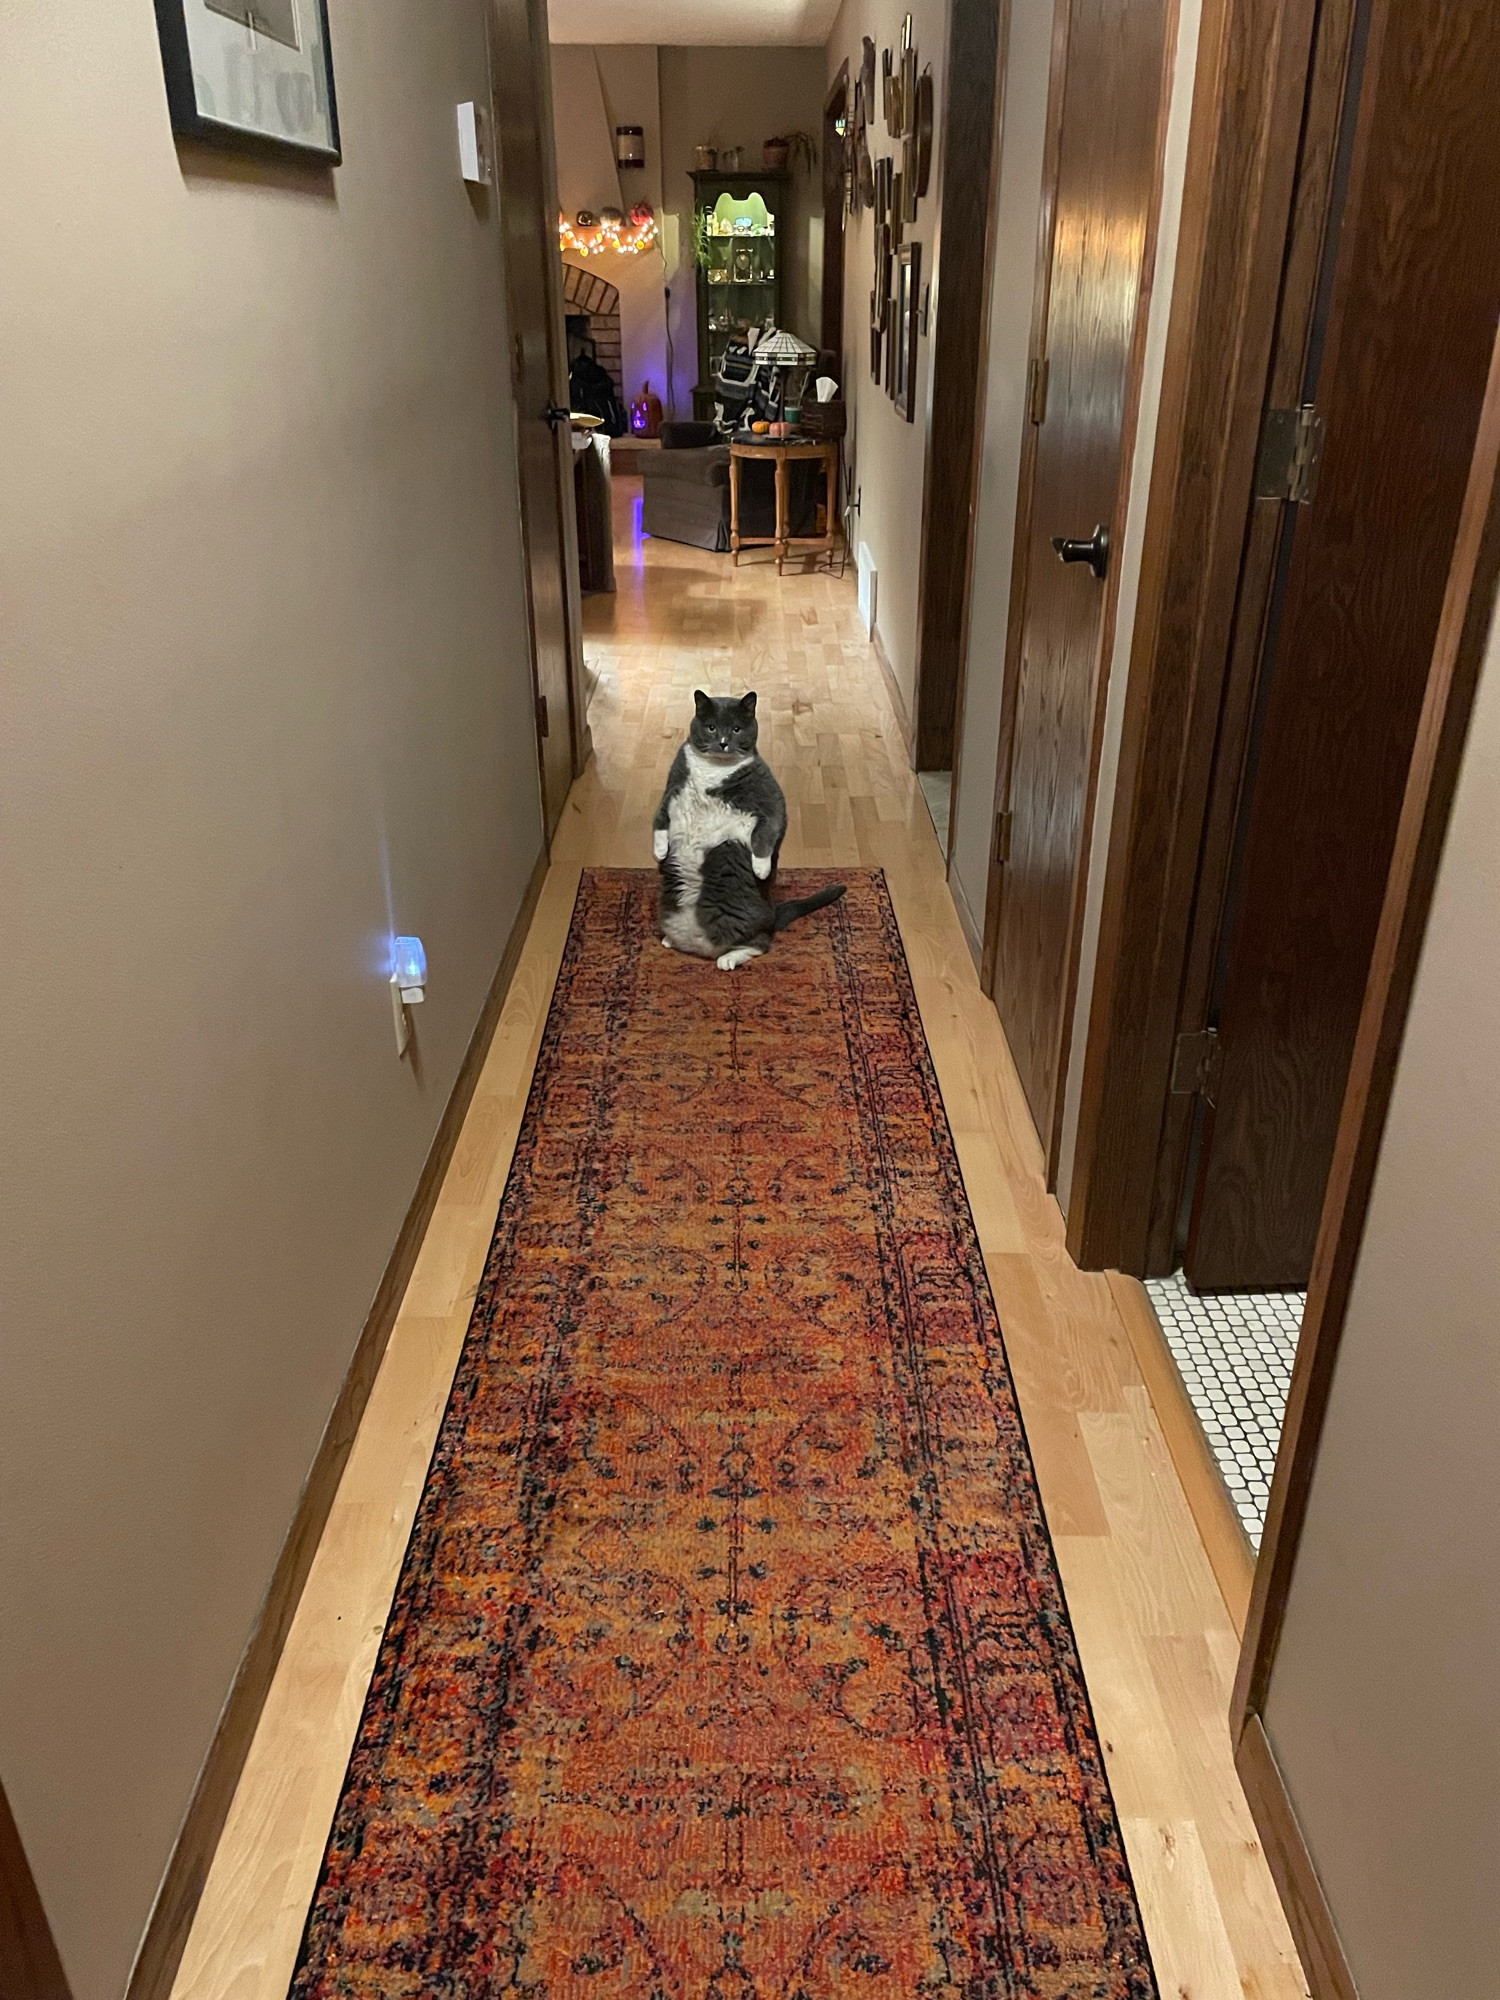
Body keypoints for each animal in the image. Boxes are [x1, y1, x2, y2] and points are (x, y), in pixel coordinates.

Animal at [656, 688, 852, 968]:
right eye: (711, 727)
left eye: (737, 729)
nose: (723, 742)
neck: (713, 769)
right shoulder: (673, 786)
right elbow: (660, 818)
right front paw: (660, 851)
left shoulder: (769, 795)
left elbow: (768, 829)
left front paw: (761, 868)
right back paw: (670, 940)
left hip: (747, 922)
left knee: (759, 944)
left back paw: (728, 959)